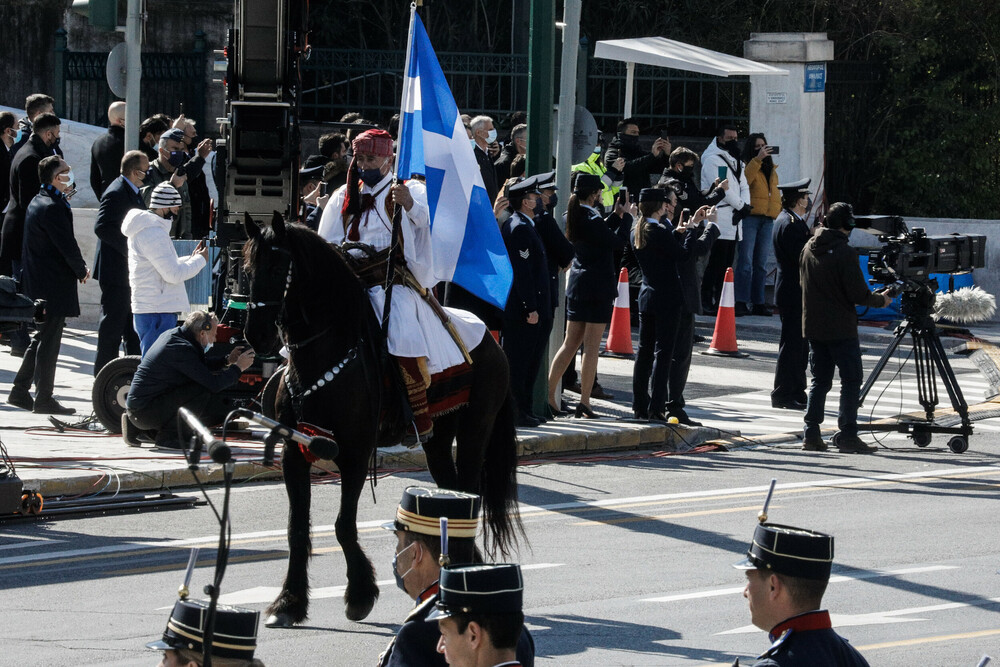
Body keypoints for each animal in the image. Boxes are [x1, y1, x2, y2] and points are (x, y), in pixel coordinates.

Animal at [243, 213, 524, 628]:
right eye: (246, 268)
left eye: (278, 267)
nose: (255, 334)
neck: (326, 356)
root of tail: (489, 337)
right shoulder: (294, 453)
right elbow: (296, 528)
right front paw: (289, 601)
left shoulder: (354, 454)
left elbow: (343, 525)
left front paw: (360, 594)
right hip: (438, 438)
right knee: (450, 489)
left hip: (476, 431)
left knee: (469, 492)